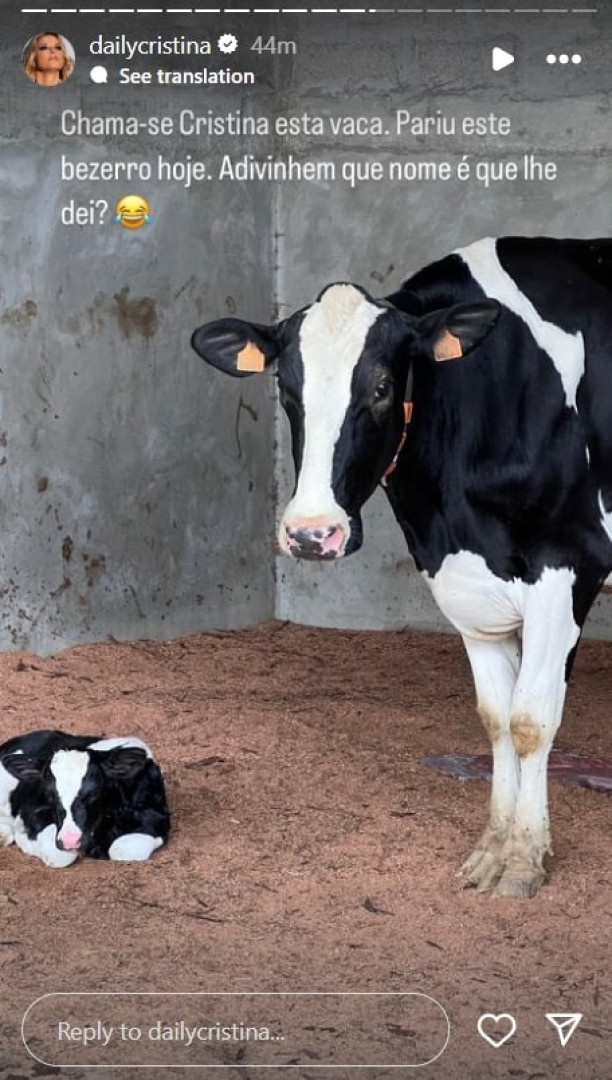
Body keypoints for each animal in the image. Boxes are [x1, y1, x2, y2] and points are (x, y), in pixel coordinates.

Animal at [0, 725, 170, 868]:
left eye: (95, 792)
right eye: (49, 795)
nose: (70, 840)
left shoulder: (156, 816)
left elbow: (123, 850)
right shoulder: (31, 810)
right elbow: (57, 855)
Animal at [192, 238, 612, 902]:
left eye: (384, 386)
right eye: (287, 388)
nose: (312, 533)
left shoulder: (569, 560)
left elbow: (530, 720)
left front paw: (523, 860)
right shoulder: (462, 580)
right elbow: (496, 719)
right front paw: (494, 848)